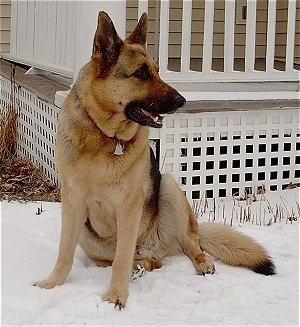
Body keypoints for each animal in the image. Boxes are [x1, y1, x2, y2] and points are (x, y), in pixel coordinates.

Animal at [34, 11, 276, 308]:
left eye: (158, 71)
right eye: (141, 73)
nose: (182, 101)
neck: (104, 138)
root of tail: (157, 244)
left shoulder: (128, 207)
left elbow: (121, 259)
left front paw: (116, 296)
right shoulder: (72, 202)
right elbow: (65, 252)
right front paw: (53, 283)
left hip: (170, 188)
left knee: (189, 244)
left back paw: (200, 261)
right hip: (89, 237)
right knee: (141, 260)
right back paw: (142, 266)